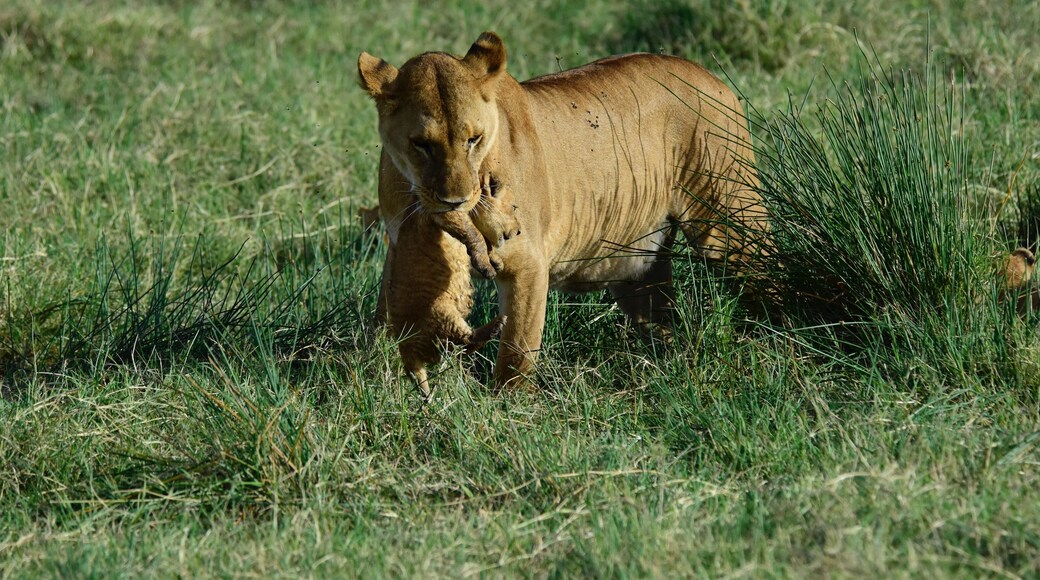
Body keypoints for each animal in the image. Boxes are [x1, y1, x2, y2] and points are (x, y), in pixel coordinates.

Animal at [359, 32, 768, 388]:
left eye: (473, 139)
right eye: (421, 144)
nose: (455, 201)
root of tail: (714, 78)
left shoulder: (527, 264)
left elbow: (517, 352)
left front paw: (507, 409)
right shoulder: (399, 249)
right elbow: (385, 317)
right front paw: (375, 373)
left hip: (729, 224)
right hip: (638, 268)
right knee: (660, 318)